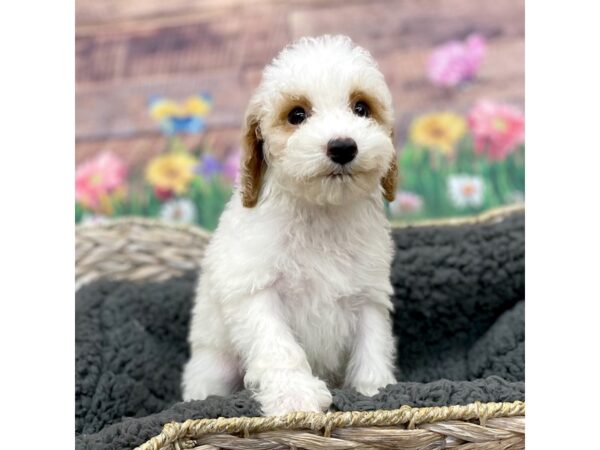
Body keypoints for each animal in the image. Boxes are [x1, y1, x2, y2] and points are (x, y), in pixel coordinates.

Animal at [183, 34, 398, 414]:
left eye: (361, 108)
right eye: (297, 115)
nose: (343, 147)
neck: (320, 210)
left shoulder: (369, 294)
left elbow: (373, 343)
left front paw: (375, 389)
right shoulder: (256, 291)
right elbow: (278, 347)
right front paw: (294, 396)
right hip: (213, 364)